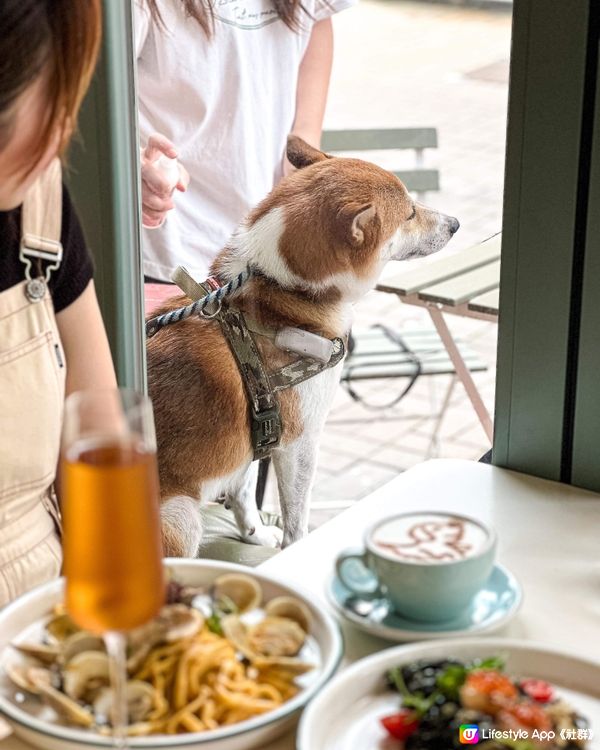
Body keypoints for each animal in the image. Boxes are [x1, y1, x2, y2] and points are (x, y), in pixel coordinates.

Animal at [146, 135, 460, 560]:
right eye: (410, 213)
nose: (455, 224)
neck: (281, 294)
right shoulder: (300, 440)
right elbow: (296, 518)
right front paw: (293, 549)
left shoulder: (256, 440)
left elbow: (244, 492)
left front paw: (254, 533)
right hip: (182, 517)